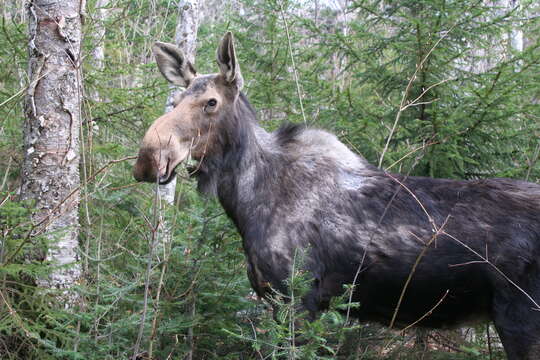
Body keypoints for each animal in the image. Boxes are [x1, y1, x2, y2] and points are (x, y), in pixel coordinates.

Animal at [134, 33, 540, 358]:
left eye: (211, 102)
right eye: (174, 102)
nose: (149, 157)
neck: (247, 201)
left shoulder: (298, 298)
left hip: (520, 314)